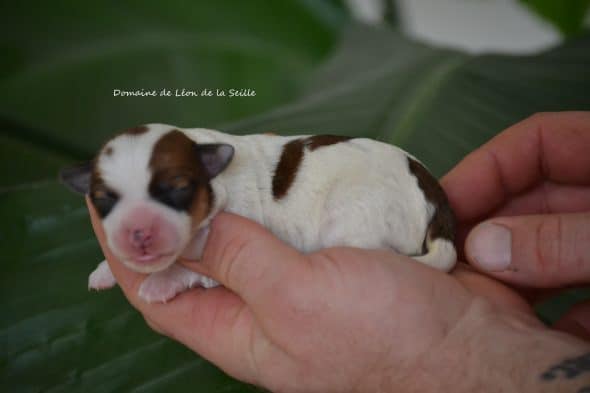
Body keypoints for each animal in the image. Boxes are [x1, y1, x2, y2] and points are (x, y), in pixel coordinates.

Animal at [59, 124, 458, 302]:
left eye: (177, 188)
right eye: (103, 199)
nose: (138, 233)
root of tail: (434, 194)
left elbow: (193, 270)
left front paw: (161, 281)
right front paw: (106, 268)